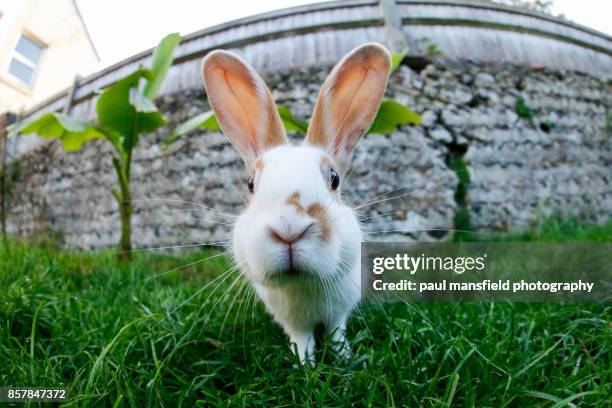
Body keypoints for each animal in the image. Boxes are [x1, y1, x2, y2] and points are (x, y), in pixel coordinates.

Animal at [202, 43, 392, 364]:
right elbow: (302, 340)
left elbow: (337, 332)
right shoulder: (292, 322)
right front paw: (304, 365)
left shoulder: (339, 312)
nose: (288, 229)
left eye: (334, 179)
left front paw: (344, 358)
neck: (303, 284)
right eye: (251, 184)